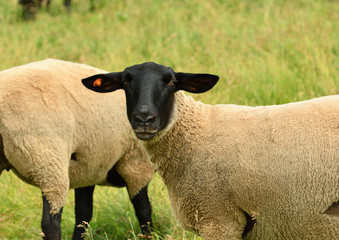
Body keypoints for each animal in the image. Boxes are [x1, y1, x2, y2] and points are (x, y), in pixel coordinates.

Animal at [0, 58, 155, 240]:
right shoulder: (136, 166)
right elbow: (144, 212)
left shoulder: (89, 169)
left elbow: (83, 214)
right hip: (47, 160)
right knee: (50, 223)